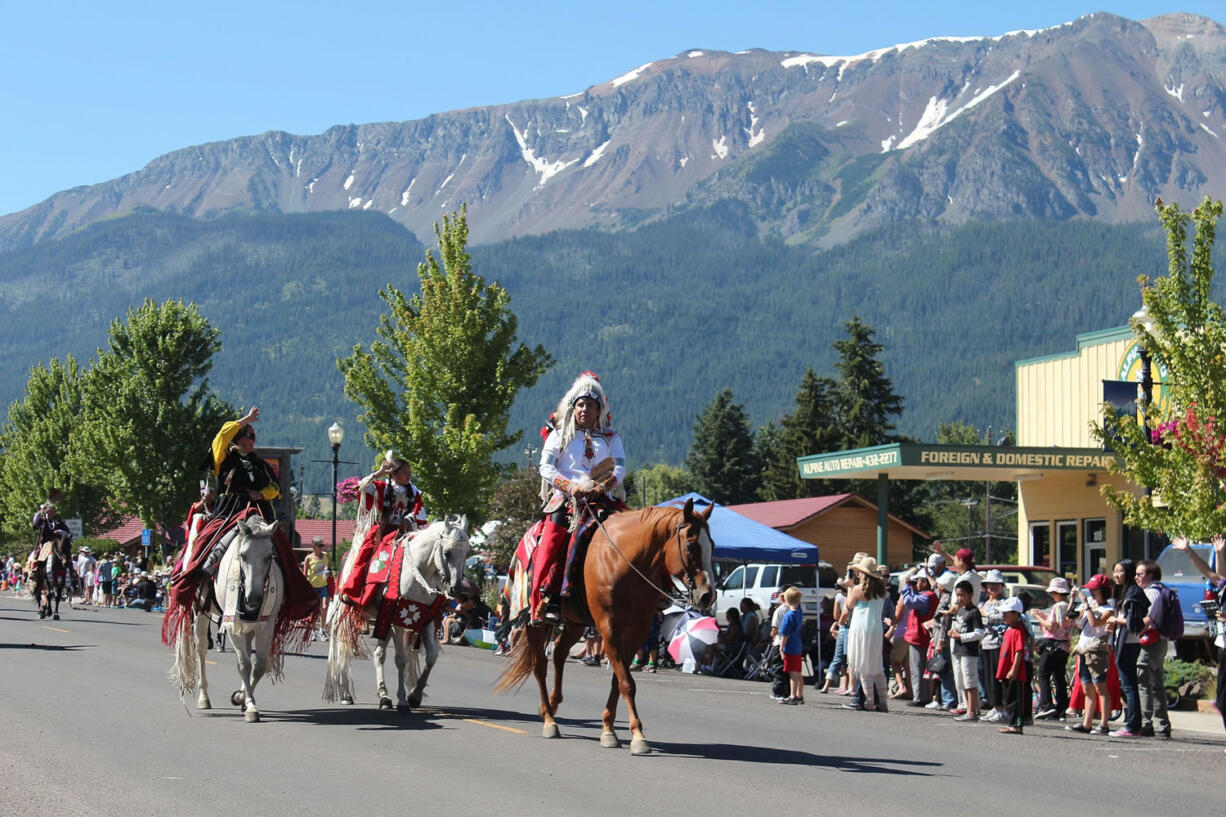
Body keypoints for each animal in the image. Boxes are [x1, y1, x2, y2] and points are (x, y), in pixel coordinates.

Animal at [169, 517, 283, 721]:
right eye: (242, 555)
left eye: (269, 556)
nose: (253, 599)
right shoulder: (231, 625)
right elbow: (244, 664)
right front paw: (250, 706)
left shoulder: (266, 625)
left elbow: (259, 665)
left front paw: (243, 699)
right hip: (200, 613)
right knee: (201, 649)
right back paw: (204, 698)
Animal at [323, 517, 470, 711]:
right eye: (447, 552)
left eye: (467, 553)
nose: (456, 589)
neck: (417, 572)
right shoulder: (397, 621)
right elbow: (401, 659)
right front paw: (402, 700)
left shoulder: (425, 620)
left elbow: (431, 656)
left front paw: (415, 695)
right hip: (347, 612)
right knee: (343, 645)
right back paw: (345, 692)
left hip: (381, 620)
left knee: (378, 655)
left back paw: (384, 696)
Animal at [492, 493, 715, 755]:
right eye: (690, 545)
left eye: (712, 545)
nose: (707, 595)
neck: (624, 561)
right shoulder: (610, 629)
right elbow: (627, 683)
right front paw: (637, 736)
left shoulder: (637, 632)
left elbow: (618, 680)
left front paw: (609, 729)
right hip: (534, 622)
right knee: (540, 666)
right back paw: (549, 719)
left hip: (576, 622)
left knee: (559, 652)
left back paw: (553, 704)